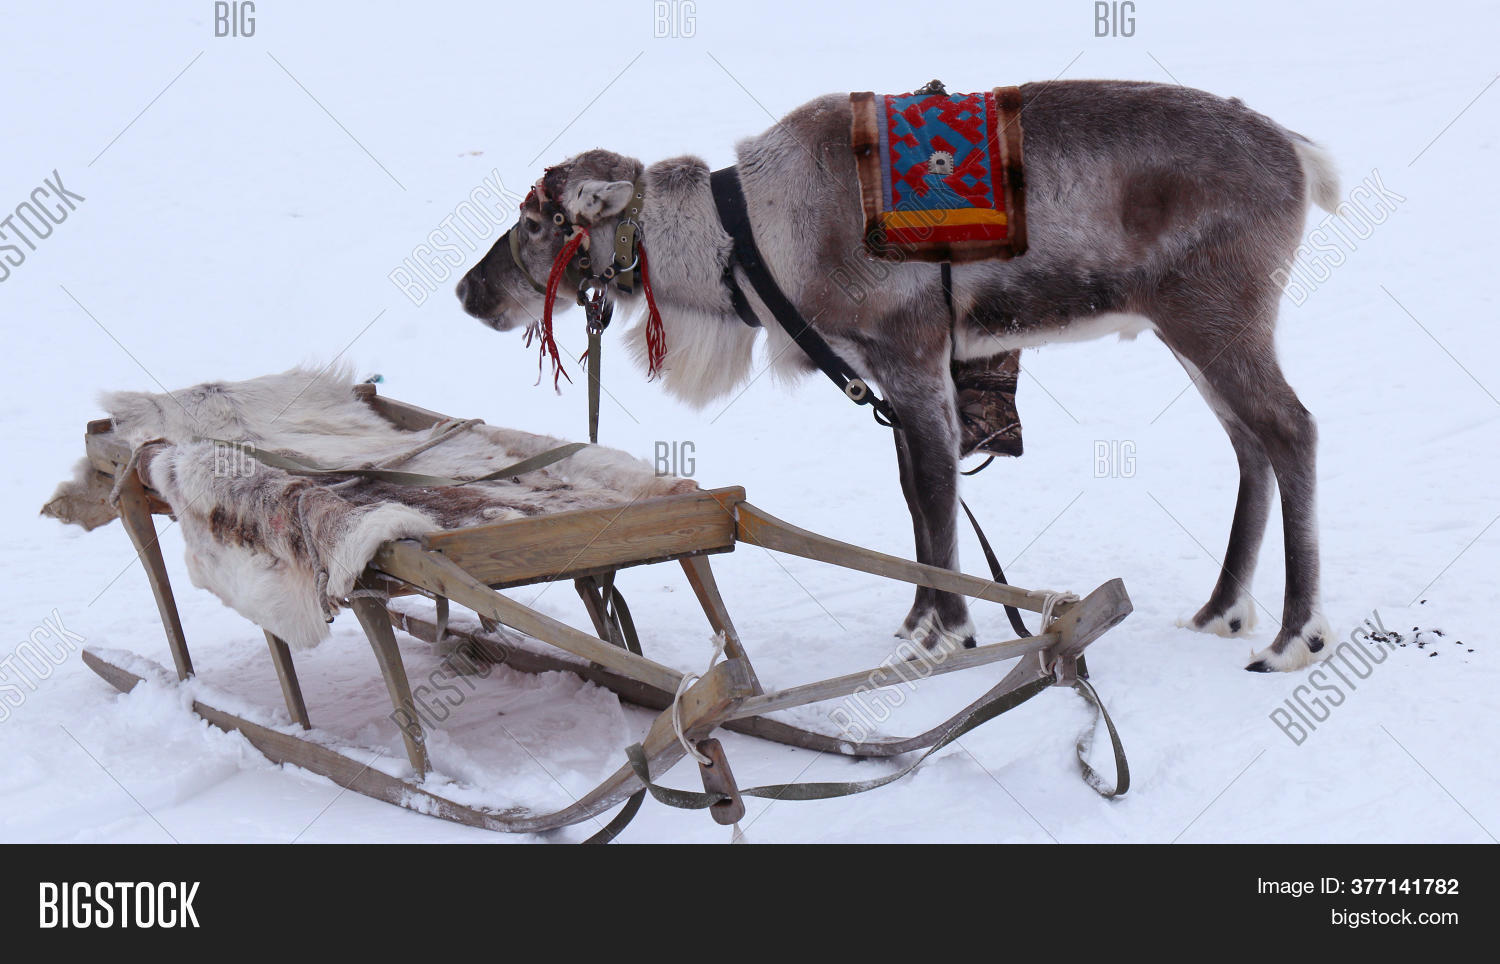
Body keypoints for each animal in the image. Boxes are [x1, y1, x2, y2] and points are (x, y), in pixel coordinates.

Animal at [455, 79, 1341, 672]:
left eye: (536, 221)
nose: (468, 293)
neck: (756, 239)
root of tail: (1301, 154)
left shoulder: (912, 357)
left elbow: (940, 495)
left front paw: (949, 630)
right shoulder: (878, 376)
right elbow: (916, 492)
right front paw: (920, 620)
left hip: (1216, 318)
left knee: (1292, 428)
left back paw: (1294, 636)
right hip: (1194, 331)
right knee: (1249, 443)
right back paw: (1223, 610)